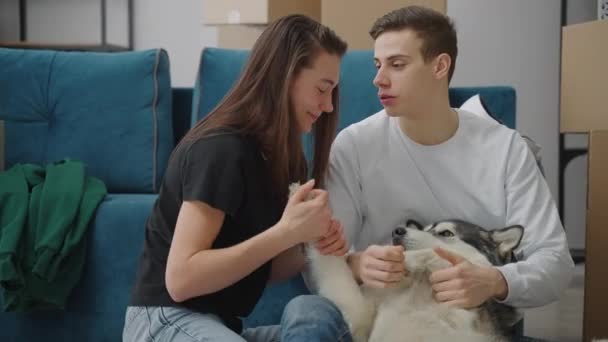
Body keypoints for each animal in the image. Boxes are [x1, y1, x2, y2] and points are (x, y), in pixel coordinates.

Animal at [306, 216, 524, 342]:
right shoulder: (357, 320)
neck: (424, 288)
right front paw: (320, 226)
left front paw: (411, 259)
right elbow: (333, 266)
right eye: (424, 229)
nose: (396, 231)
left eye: (446, 232)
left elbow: (439, 257)